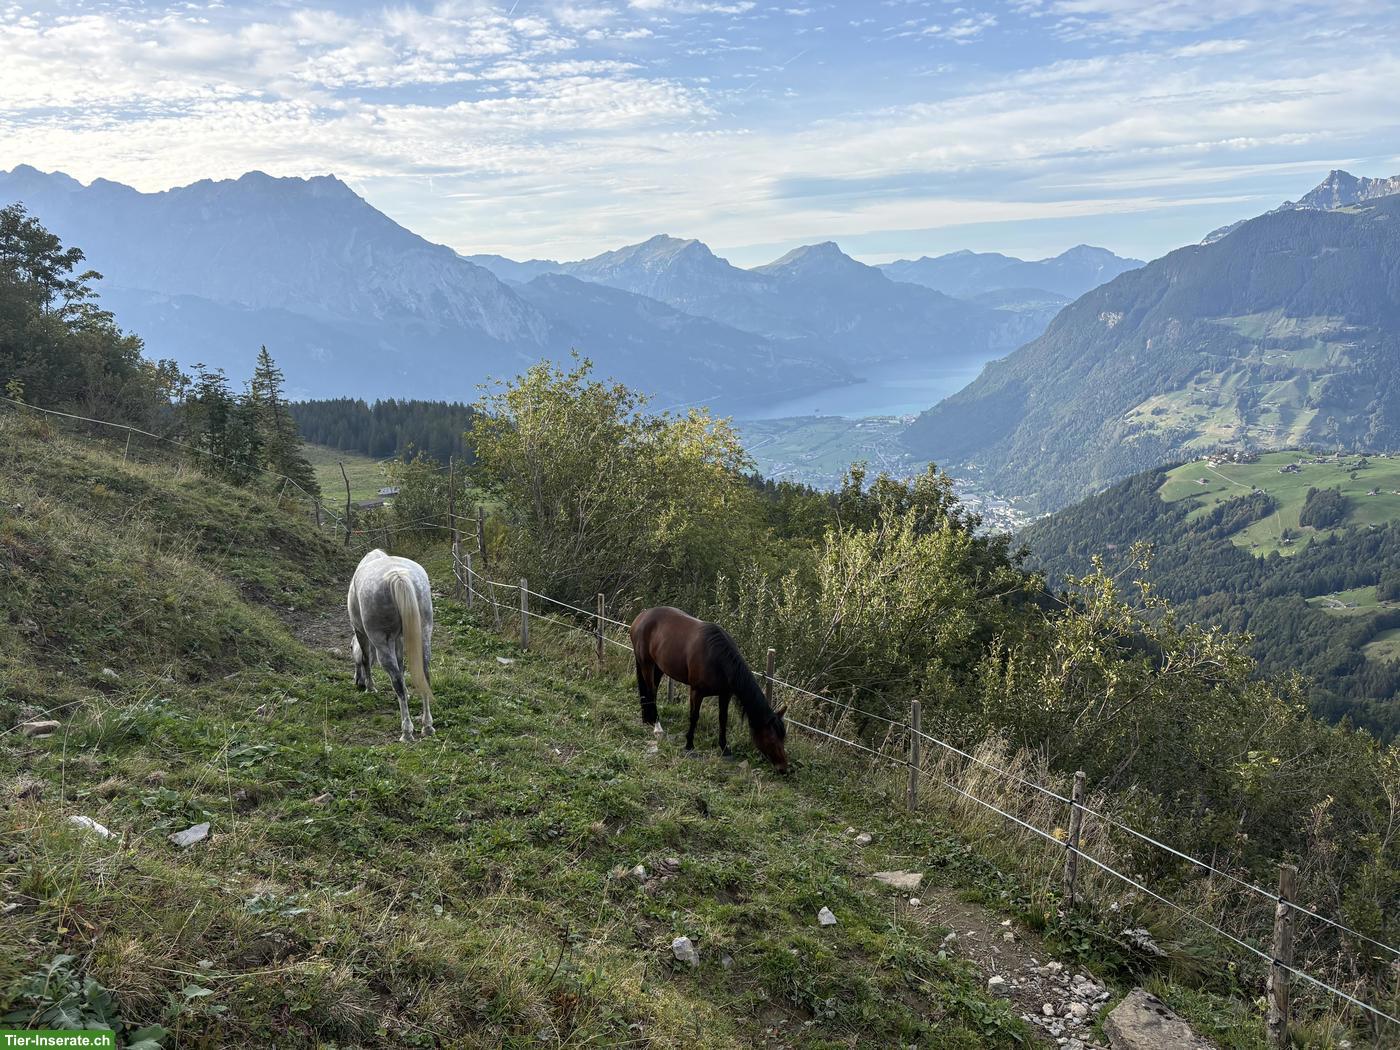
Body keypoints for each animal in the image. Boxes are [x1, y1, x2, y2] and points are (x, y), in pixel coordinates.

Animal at [347, 549, 436, 742]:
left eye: (350, 648)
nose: (357, 682)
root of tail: (399, 576)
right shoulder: (399, 639)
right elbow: (401, 665)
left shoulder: (361, 631)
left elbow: (365, 658)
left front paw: (369, 687)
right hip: (424, 634)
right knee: (424, 675)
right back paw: (427, 726)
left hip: (381, 643)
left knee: (397, 682)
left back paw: (407, 732)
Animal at [630, 606, 789, 772]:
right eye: (771, 739)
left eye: (783, 737)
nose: (783, 768)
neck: (717, 659)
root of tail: (641, 617)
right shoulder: (696, 692)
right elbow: (694, 716)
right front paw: (689, 744)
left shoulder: (725, 694)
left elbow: (723, 719)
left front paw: (724, 748)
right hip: (646, 663)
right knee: (650, 691)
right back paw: (657, 726)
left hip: (659, 666)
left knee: (650, 691)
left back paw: (647, 719)